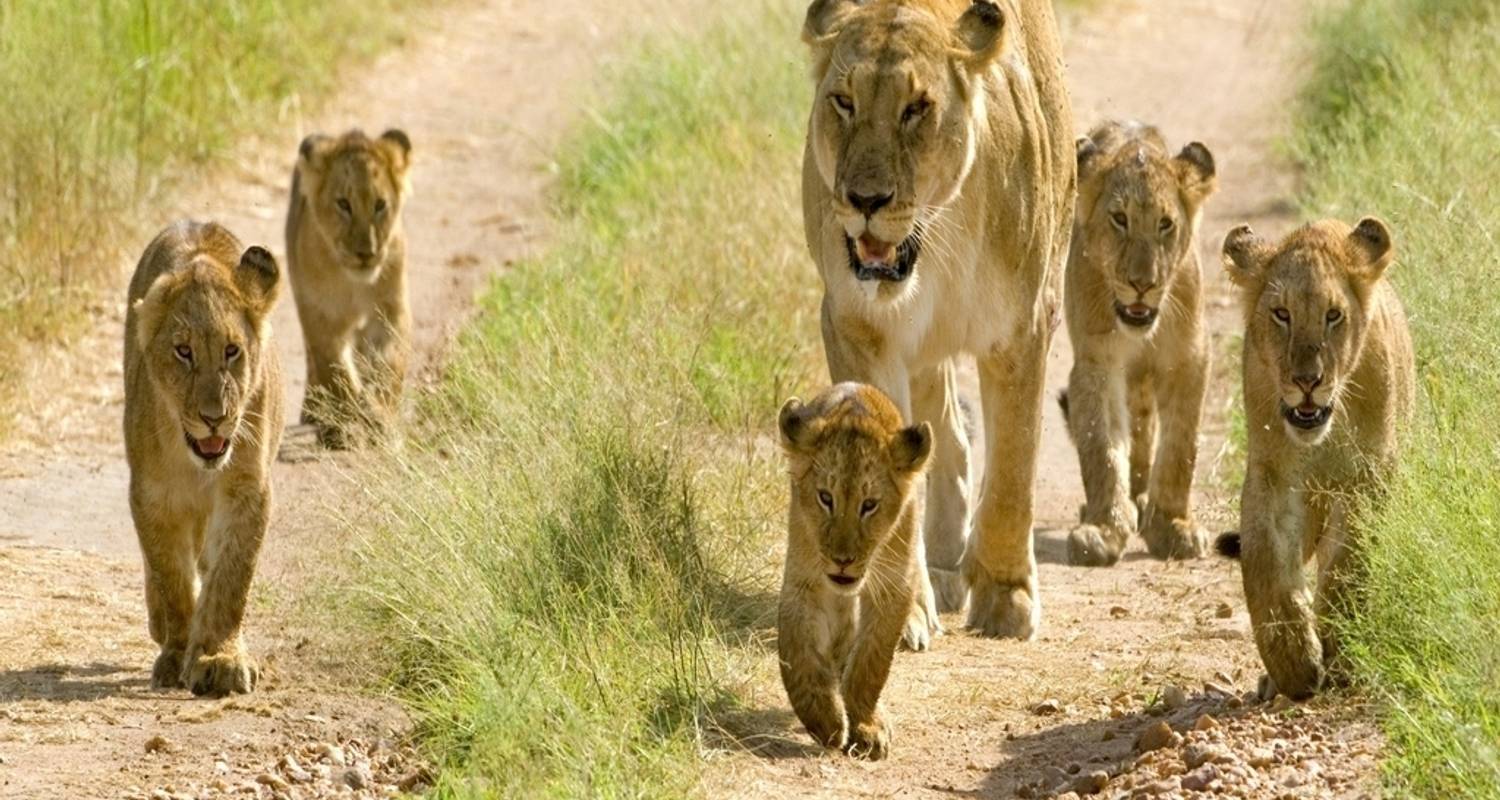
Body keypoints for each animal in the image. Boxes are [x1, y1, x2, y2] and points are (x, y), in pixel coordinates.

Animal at [123, 220, 283, 693]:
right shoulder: (152, 495)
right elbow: (171, 576)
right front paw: (177, 653)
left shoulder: (246, 489)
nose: (215, 418)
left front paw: (219, 657)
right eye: (183, 351)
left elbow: (231, 576)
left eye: (232, 351)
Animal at [804, 0, 1074, 642]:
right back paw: (946, 563)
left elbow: (1014, 470)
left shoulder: (1022, 329)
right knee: (946, 427)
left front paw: (1005, 598)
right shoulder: (857, 328)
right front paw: (897, 610)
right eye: (843, 101)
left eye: (916, 108)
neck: (935, 240)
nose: (865, 200)